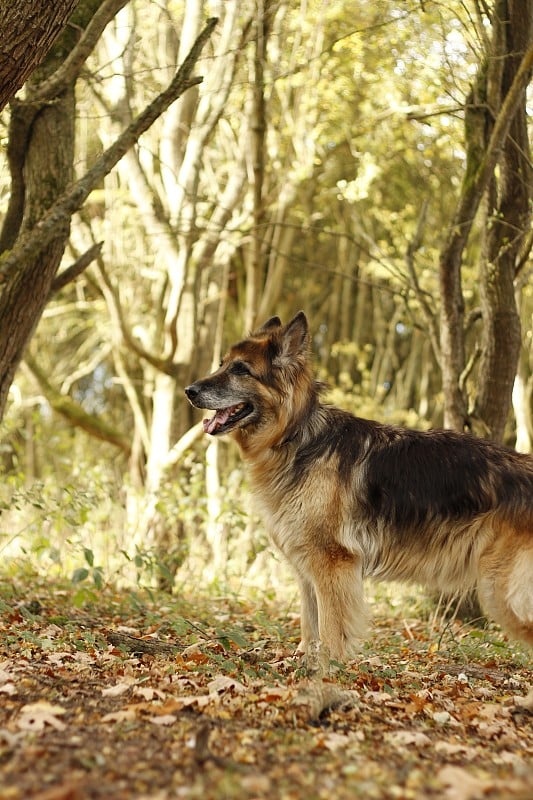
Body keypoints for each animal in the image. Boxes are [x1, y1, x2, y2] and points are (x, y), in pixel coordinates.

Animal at [184, 310, 532, 660]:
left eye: (241, 369)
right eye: (222, 363)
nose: (189, 390)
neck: (295, 437)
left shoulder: (332, 564)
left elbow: (329, 630)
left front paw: (328, 669)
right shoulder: (307, 569)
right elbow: (309, 624)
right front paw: (303, 663)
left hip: (500, 593)